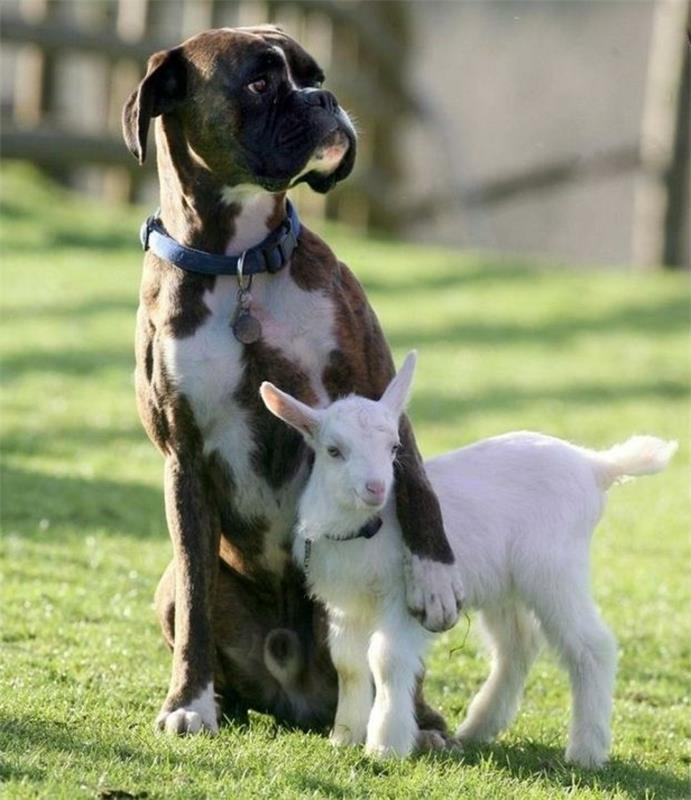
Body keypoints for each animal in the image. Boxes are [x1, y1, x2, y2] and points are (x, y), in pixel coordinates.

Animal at [123, 25, 464, 736]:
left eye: (314, 75)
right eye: (259, 82)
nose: (324, 99)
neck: (240, 265)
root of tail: (298, 694)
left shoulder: (377, 383)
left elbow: (416, 480)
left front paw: (436, 575)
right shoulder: (182, 456)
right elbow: (196, 595)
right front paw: (187, 703)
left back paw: (424, 722)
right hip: (171, 592)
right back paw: (223, 701)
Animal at [260, 354, 676, 764]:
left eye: (394, 447)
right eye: (334, 450)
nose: (376, 489)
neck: (362, 528)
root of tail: (594, 466)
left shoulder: (405, 596)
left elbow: (386, 659)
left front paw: (385, 747)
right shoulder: (346, 604)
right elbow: (348, 664)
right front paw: (344, 737)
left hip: (554, 569)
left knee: (593, 646)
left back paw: (586, 751)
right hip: (505, 584)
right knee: (518, 647)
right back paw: (479, 727)